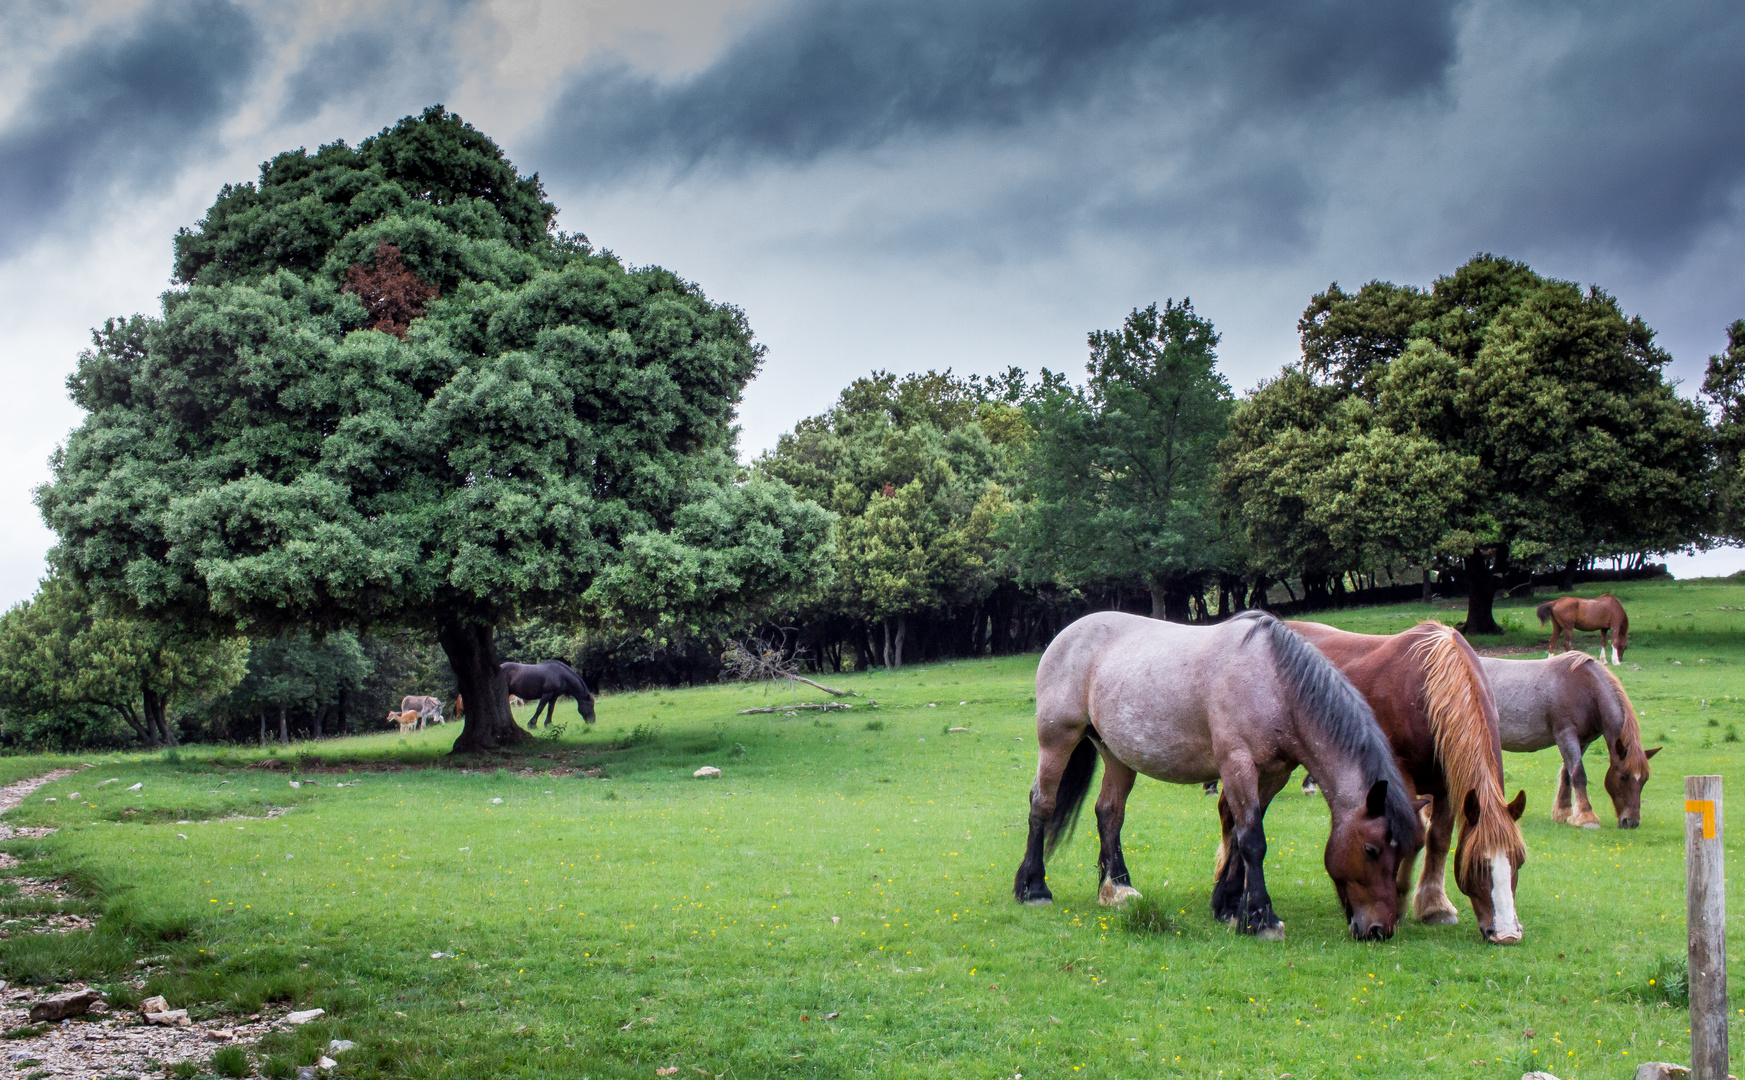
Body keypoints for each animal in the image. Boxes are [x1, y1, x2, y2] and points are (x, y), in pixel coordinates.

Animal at [1019, 614, 1423, 942]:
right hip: (1057, 740)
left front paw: (1230, 906)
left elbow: (1241, 833)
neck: (1273, 683)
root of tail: (1068, 632)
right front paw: (1261, 919)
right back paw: (1033, 888)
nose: (1379, 930)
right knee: (1043, 804)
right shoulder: (1237, 765)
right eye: (1371, 850)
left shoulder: (1272, 775)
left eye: (1402, 853)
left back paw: (1116, 889)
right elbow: (1252, 839)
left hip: (1117, 755)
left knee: (1109, 814)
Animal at [1284, 624, 1528, 949]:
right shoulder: (1401, 772)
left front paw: (1435, 907)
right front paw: (1398, 903)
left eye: (1519, 861)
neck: (1429, 690)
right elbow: (1415, 835)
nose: (1507, 934)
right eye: (1476, 864)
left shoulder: (1448, 784)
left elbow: (1439, 839)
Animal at [1479, 649, 1654, 827]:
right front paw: (1586, 817)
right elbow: (1578, 774)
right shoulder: (1566, 735)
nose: (1631, 822)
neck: (1586, 688)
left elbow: (1567, 775)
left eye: (1645, 779)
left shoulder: (1583, 741)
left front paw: (1563, 813)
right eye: (1623, 777)